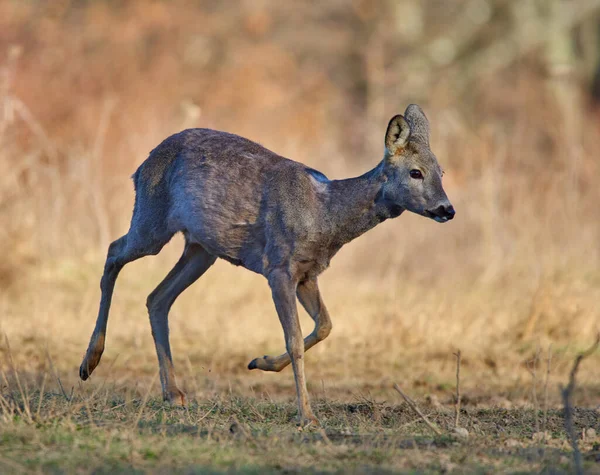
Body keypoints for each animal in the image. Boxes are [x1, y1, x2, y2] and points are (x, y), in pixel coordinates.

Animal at [79, 104, 454, 428]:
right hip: (153, 221)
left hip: (201, 249)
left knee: (156, 297)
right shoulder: (278, 267)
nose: (446, 209)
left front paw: (260, 362)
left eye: (441, 171)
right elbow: (295, 339)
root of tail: (142, 165)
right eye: (415, 172)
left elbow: (325, 325)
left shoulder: (308, 273)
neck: (325, 215)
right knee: (114, 252)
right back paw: (89, 363)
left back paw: (173, 394)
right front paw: (307, 415)